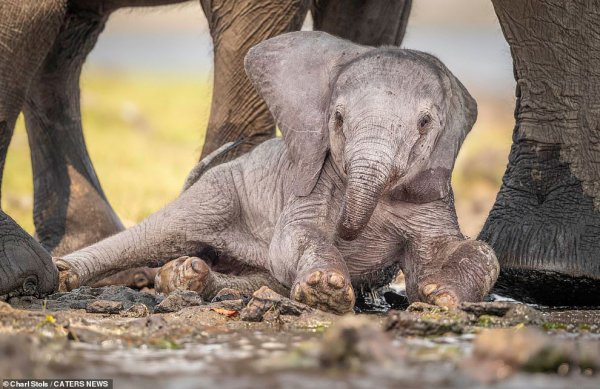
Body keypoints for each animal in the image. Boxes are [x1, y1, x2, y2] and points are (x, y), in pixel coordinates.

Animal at [55, 31, 496, 314]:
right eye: (337, 118)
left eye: (424, 124)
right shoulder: (310, 177)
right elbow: (298, 234)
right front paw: (327, 291)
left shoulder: (434, 191)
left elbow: (463, 253)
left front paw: (441, 296)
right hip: (219, 190)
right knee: (163, 231)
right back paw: (64, 275)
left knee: (265, 279)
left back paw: (188, 278)